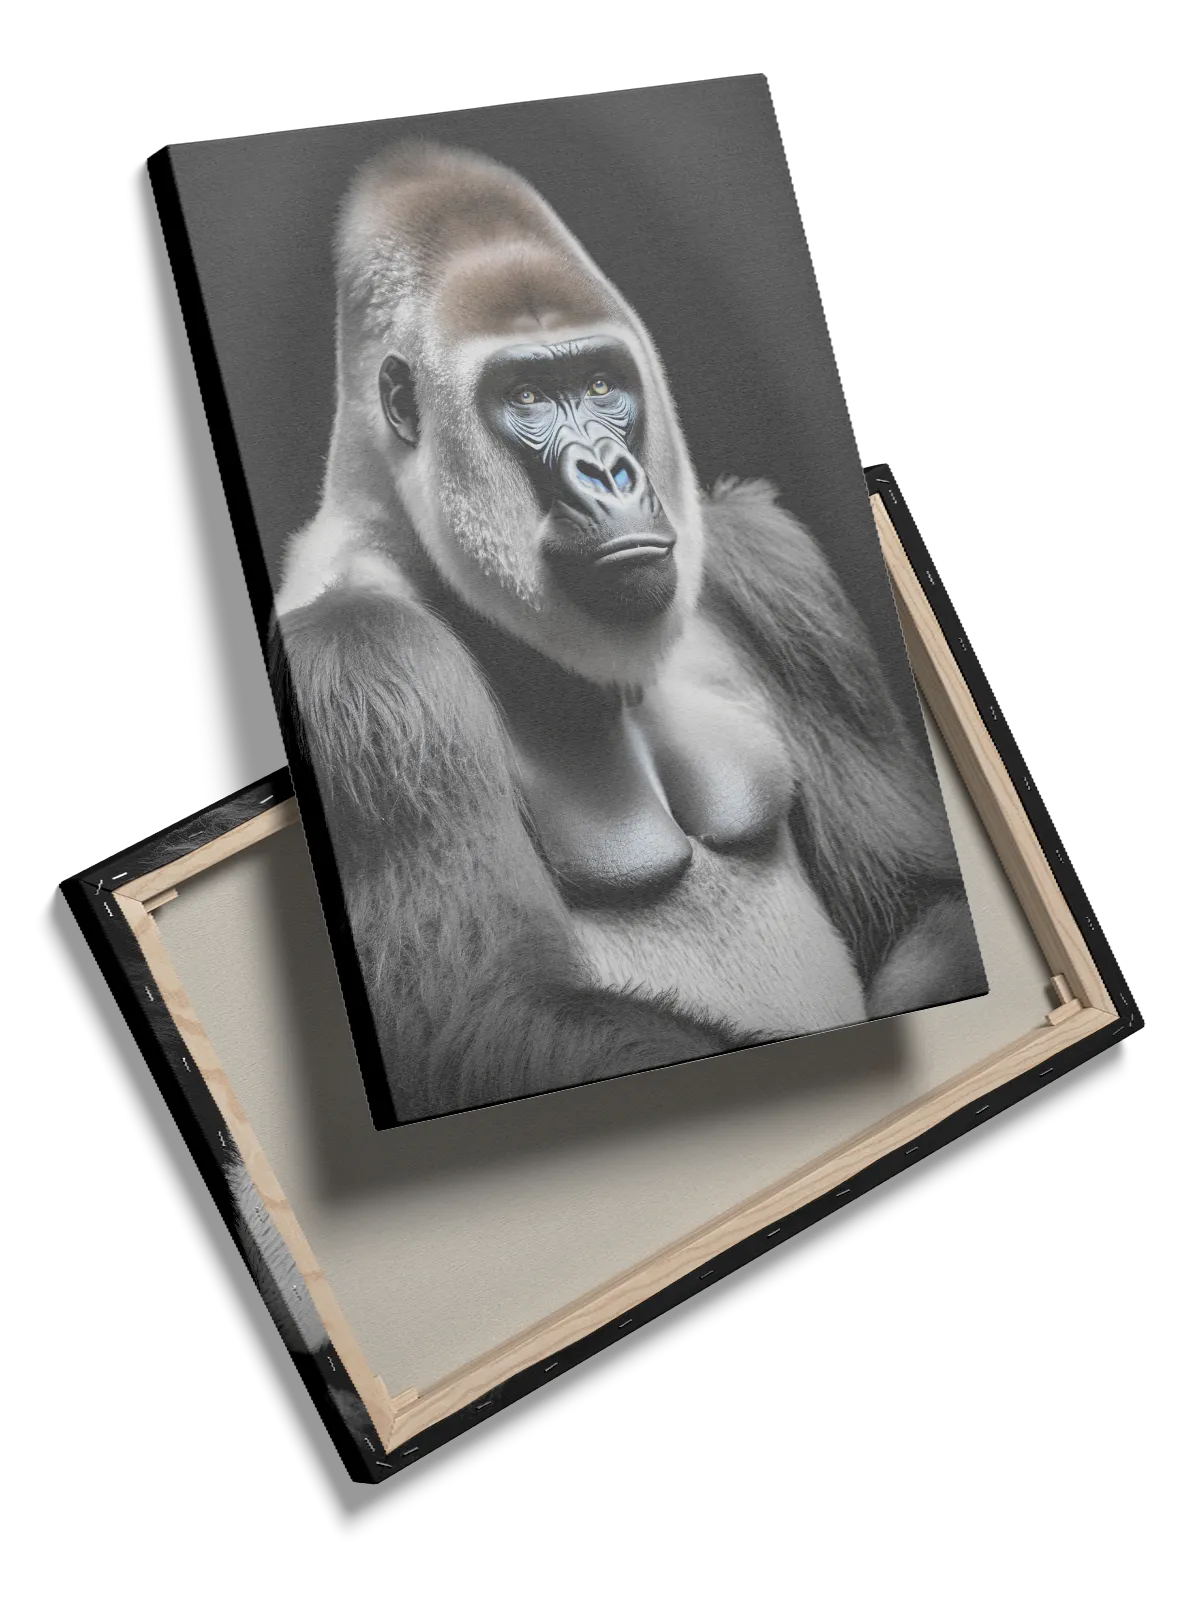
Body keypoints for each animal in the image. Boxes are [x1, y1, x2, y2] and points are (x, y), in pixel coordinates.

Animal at [273, 142, 986, 1123]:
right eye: (527, 395)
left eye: (603, 384)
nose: (612, 472)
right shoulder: (362, 669)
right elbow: (488, 1015)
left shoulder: (760, 563)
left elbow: (924, 897)